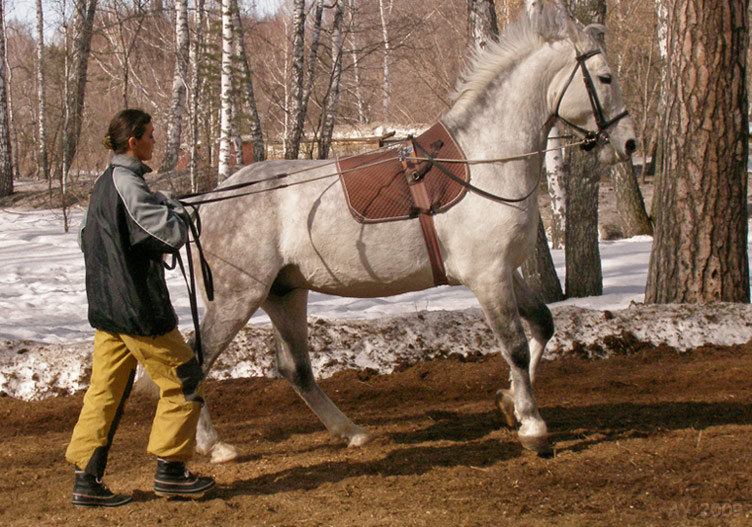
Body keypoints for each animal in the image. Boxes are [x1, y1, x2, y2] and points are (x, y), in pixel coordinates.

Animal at [187, 6, 636, 464]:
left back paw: (351, 432)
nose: (629, 144)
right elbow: (515, 344)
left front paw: (508, 402)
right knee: (196, 362)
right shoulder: (487, 275)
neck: (485, 161)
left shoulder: (506, 271)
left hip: (284, 293)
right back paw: (213, 445)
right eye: (605, 78)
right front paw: (532, 426)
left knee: (295, 369)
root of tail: (208, 201)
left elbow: (542, 324)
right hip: (238, 297)